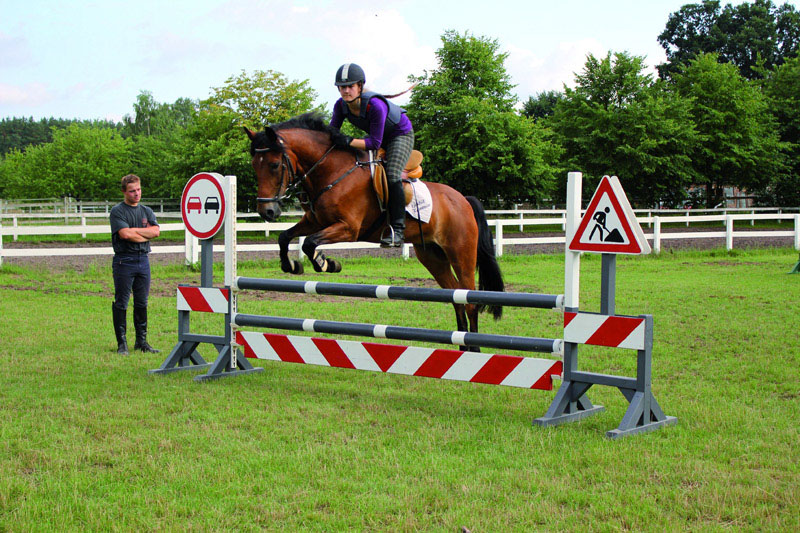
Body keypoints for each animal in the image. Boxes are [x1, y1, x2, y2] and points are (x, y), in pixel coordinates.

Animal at [244, 113, 504, 343]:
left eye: (275, 165)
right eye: (254, 166)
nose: (266, 212)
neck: (332, 170)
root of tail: (463, 200)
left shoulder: (348, 228)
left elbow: (309, 243)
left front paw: (327, 264)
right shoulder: (314, 221)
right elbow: (284, 237)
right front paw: (291, 266)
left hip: (461, 254)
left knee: (469, 301)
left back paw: (474, 347)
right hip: (432, 256)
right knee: (456, 299)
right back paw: (462, 345)